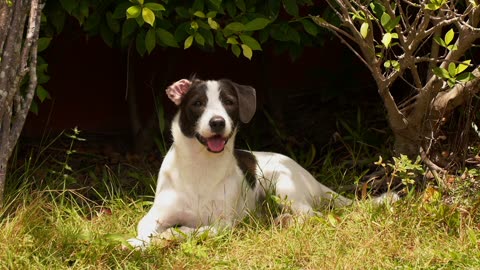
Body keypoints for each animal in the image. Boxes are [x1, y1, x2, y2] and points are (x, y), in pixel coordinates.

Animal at [127, 78, 356, 249]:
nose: (217, 122)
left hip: (284, 185)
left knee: (311, 214)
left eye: (229, 102)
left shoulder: (221, 225)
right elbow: (145, 231)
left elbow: (187, 231)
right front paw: (137, 244)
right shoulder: (156, 216)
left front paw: (166, 237)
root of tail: (313, 180)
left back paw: (285, 220)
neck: (201, 166)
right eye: (198, 103)